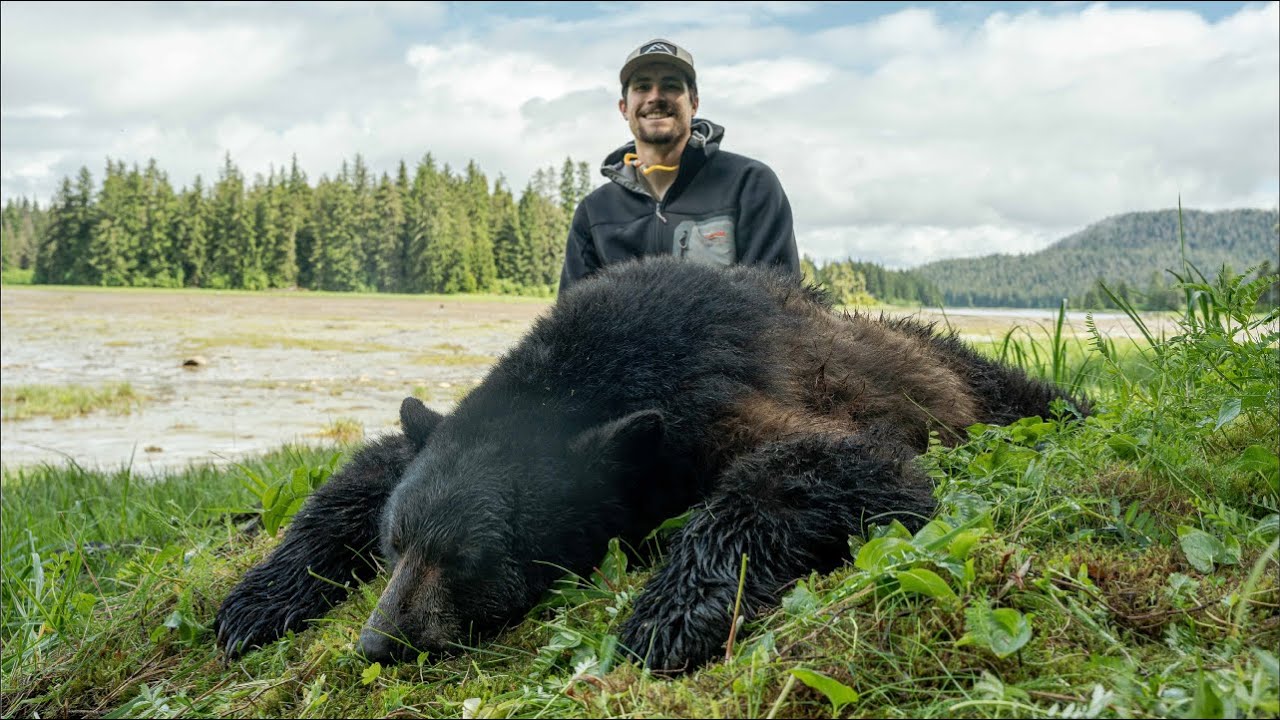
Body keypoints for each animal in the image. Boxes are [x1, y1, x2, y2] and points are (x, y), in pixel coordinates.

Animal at [214, 257, 1087, 673]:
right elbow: (366, 470)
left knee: (1019, 393)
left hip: (959, 373)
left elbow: (839, 463)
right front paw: (255, 602)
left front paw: (666, 615)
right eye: (397, 545)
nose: (378, 643)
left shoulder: (717, 396)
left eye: (471, 558)